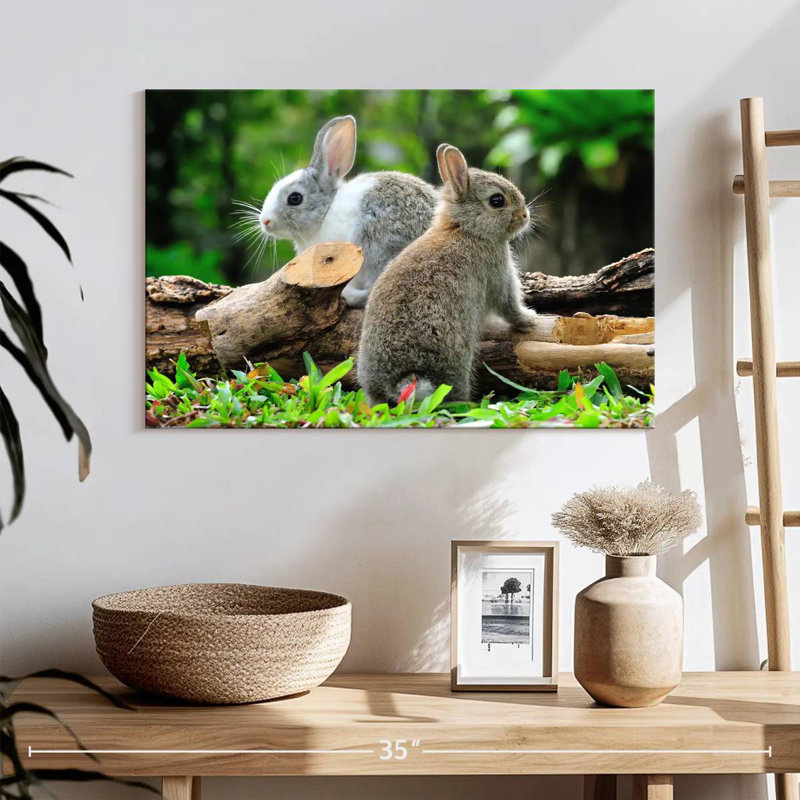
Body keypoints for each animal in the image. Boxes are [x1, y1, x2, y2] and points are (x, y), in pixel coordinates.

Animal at [357, 144, 538, 405]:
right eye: (497, 200)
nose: (525, 215)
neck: (466, 229)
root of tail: (401, 380)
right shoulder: (498, 273)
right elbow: (509, 306)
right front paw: (530, 320)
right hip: (456, 361)